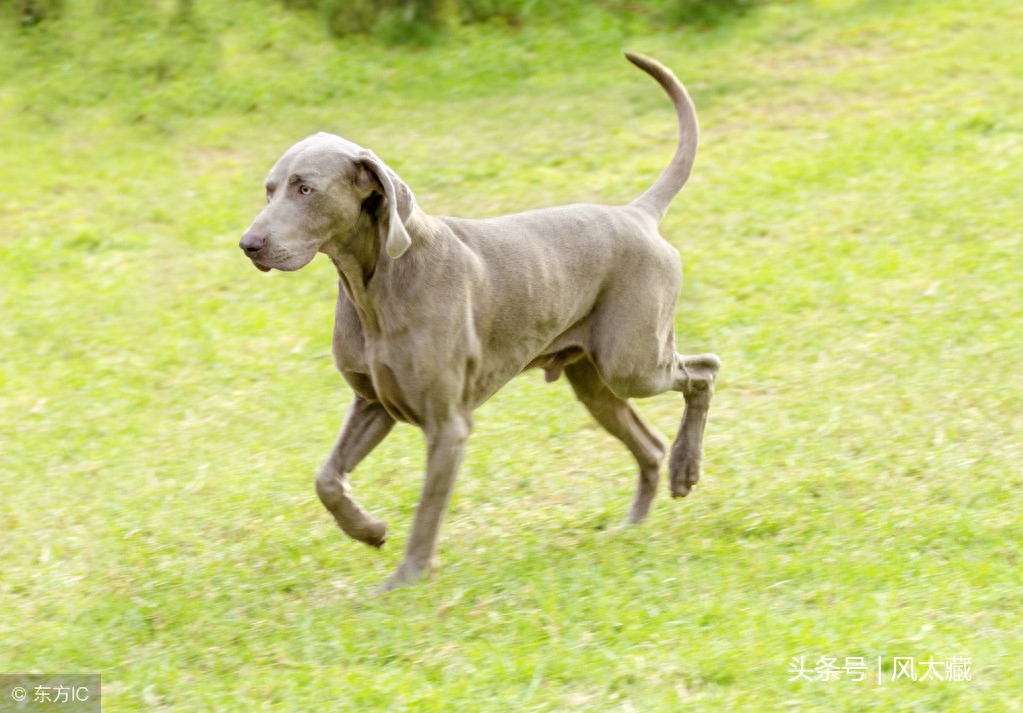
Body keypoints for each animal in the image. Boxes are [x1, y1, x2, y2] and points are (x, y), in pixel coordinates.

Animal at [239, 52, 720, 589]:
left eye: (306, 188)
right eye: (269, 191)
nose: (249, 244)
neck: (374, 286)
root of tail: (638, 214)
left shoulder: (447, 425)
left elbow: (427, 509)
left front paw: (407, 577)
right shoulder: (373, 403)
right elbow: (326, 479)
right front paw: (370, 531)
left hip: (631, 362)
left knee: (704, 370)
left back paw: (686, 470)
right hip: (594, 381)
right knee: (650, 444)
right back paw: (633, 524)